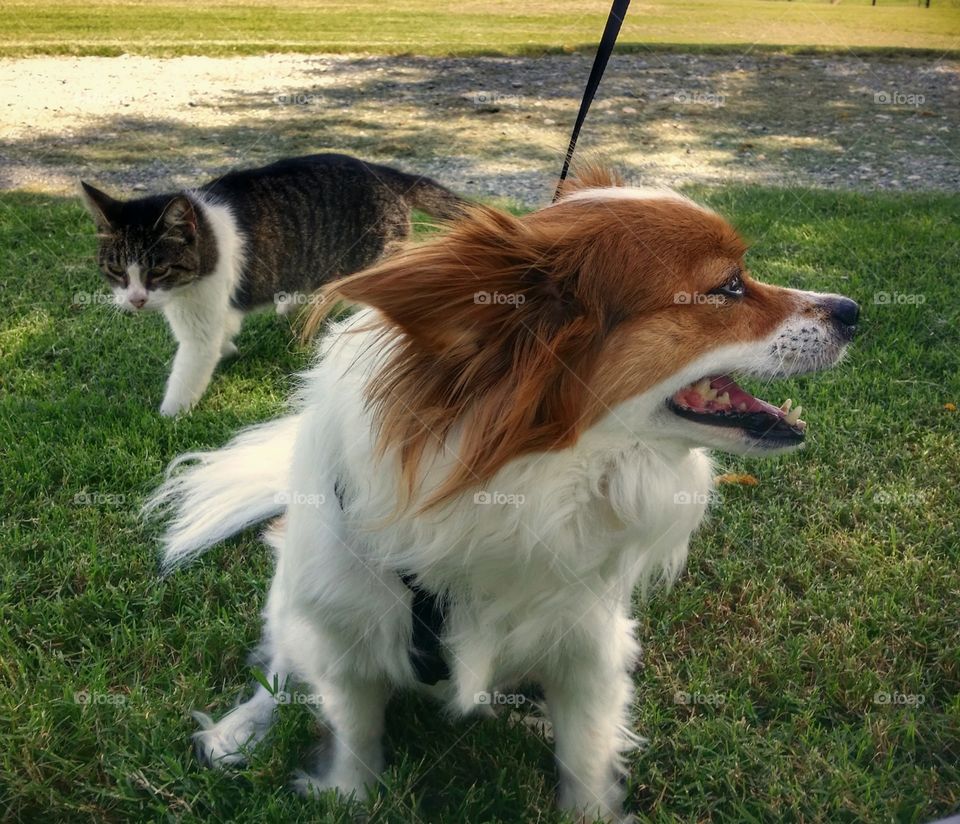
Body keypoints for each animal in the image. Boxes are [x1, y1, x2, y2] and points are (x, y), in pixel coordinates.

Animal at [148, 169, 856, 824]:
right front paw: (348, 797)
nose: (852, 310)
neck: (532, 481)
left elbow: (586, 755)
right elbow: (355, 737)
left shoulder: (588, 641)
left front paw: (589, 803)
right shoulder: (345, 636)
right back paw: (239, 730)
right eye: (728, 287)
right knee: (281, 667)